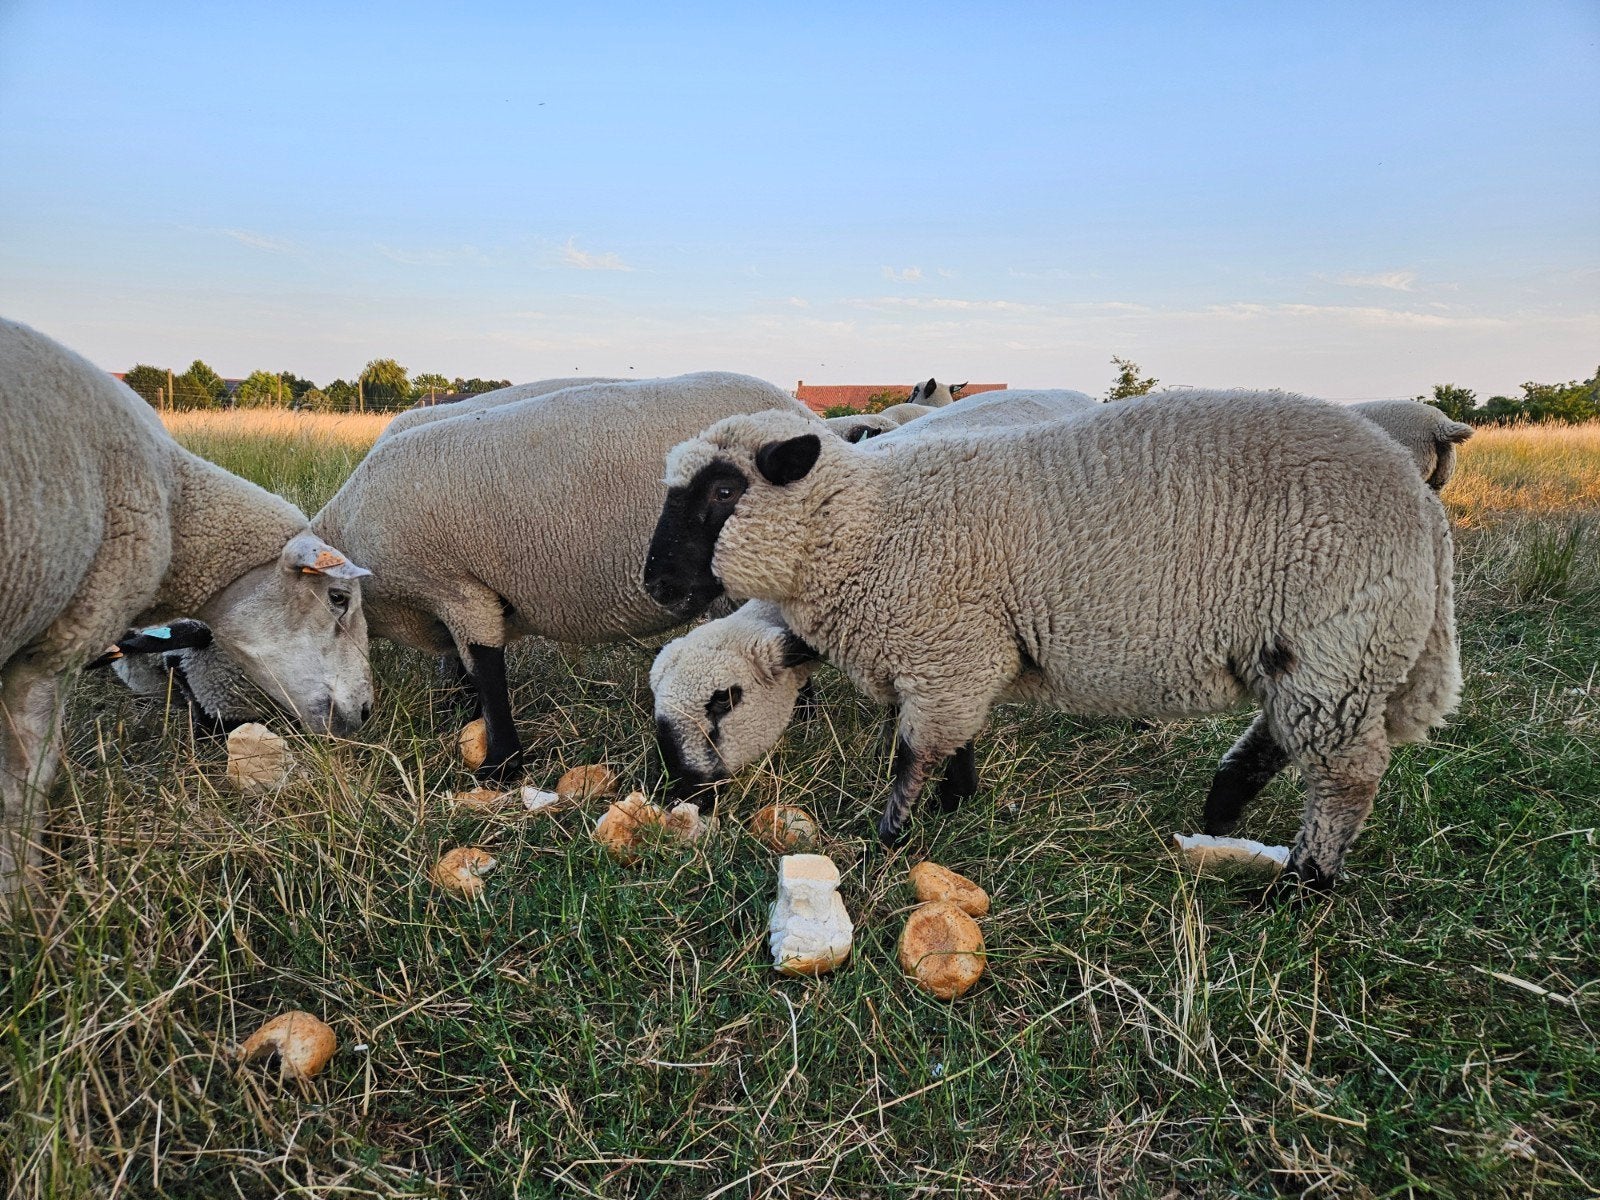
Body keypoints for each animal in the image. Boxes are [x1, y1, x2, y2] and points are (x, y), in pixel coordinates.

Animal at [1, 319, 374, 904]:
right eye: (338, 598)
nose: (367, 711)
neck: (178, 513)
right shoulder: (50, 649)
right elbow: (24, 785)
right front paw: (24, 902)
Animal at [310, 372, 818, 781]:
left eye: (332, 602)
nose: (323, 730)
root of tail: (803, 414)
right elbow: (465, 668)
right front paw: (461, 711)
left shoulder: (457, 589)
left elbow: (486, 672)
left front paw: (501, 766)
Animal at [643, 389, 1460, 890]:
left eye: (723, 491)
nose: (682, 790)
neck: (869, 524)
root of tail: (1420, 505)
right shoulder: (959, 656)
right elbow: (954, 738)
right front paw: (956, 801)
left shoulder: (945, 648)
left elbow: (914, 754)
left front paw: (892, 835)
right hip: (1319, 655)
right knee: (1286, 736)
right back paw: (1221, 812)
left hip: (1337, 639)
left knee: (1345, 776)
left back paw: (1302, 884)